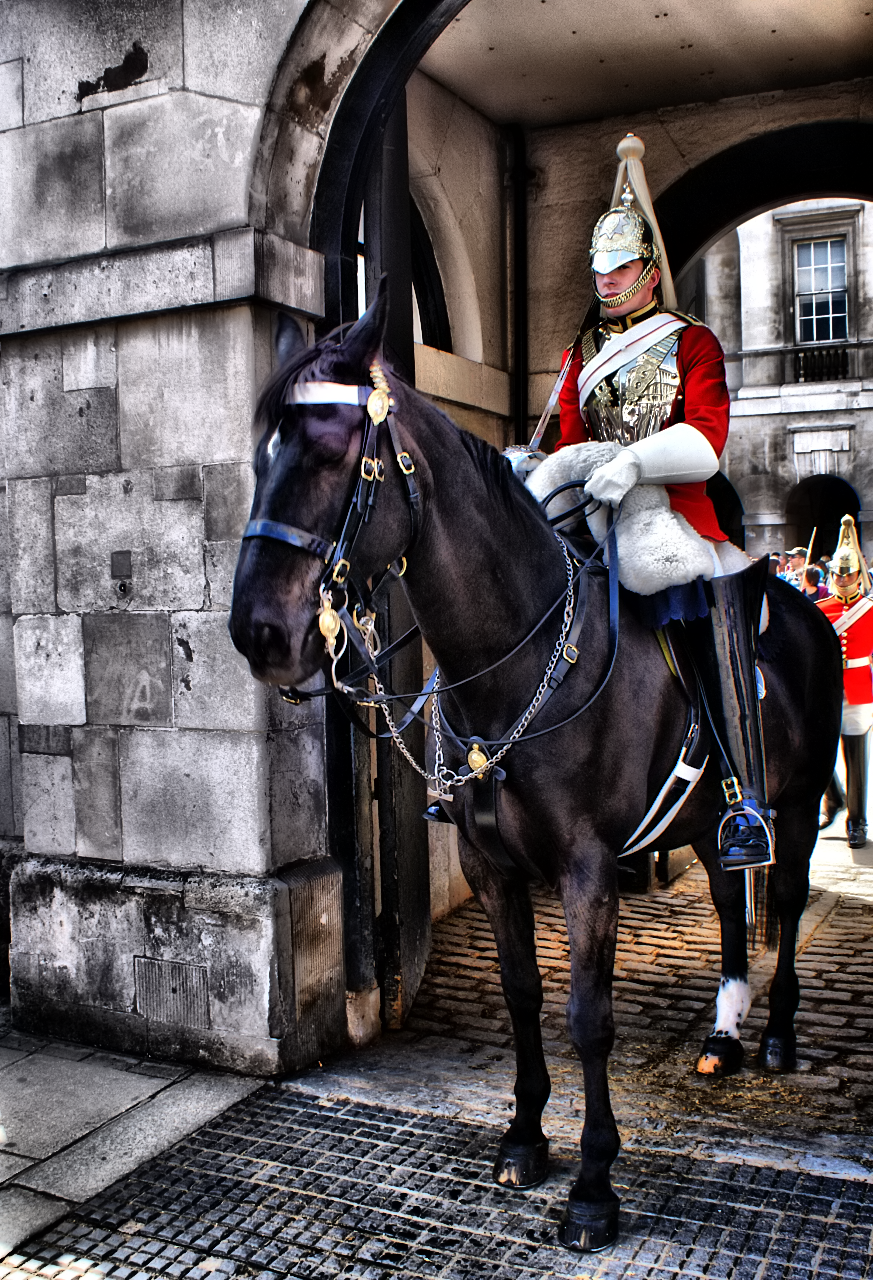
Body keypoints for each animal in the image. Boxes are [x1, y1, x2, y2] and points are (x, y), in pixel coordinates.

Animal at [227, 290, 839, 1249]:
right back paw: (724, 1034)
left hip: (802, 803)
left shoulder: (586, 869)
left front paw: (592, 1183)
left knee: (781, 896)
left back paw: (775, 1033)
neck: (510, 660)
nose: (258, 631)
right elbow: (522, 995)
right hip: (708, 821)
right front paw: (522, 1137)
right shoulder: (493, 866)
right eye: (259, 455)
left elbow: (587, 1019)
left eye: (332, 454)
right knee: (728, 905)